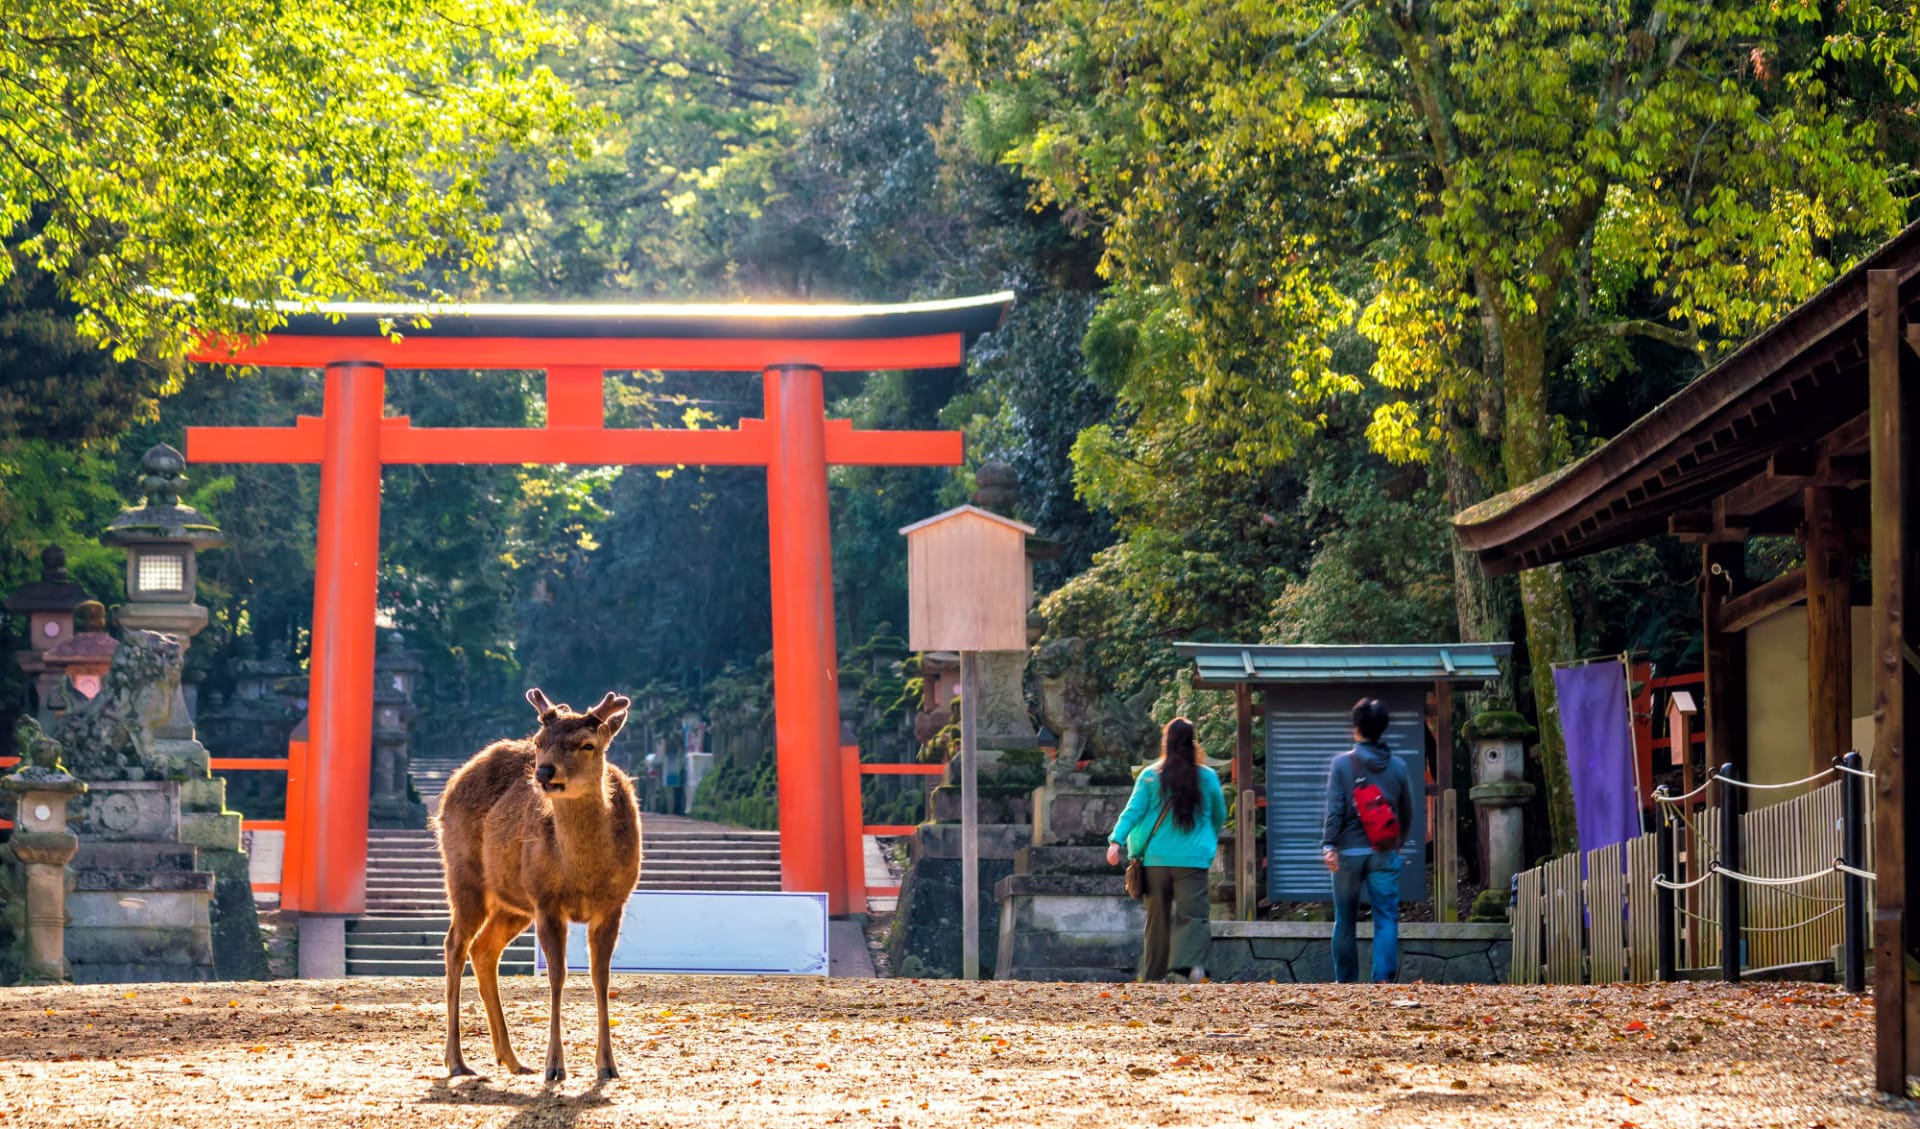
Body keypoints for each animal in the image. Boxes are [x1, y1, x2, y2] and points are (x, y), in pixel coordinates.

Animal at [435, 688, 641, 1082]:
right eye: (540, 742)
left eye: (587, 744)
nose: (544, 771)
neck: (583, 874)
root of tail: (451, 785)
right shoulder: (547, 902)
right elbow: (557, 977)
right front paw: (555, 1066)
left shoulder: (614, 904)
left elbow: (601, 978)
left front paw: (608, 1065)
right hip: (463, 876)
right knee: (454, 943)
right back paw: (456, 1061)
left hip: (513, 903)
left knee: (483, 949)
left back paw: (512, 1059)